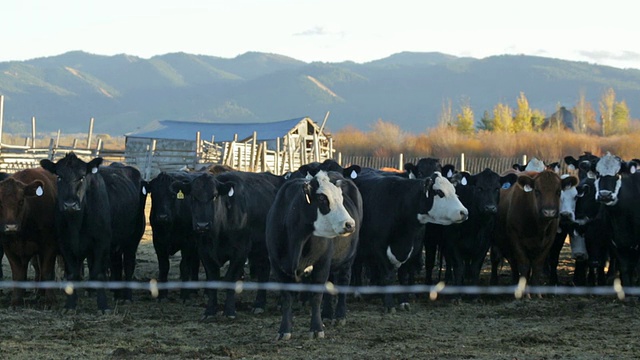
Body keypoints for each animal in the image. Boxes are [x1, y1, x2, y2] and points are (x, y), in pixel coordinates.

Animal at [0, 167, 58, 306]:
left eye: (21, 201)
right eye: (0, 203)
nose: (11, 227)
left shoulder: (50, 244)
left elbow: (47, 271)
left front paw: (50, 300)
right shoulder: (9, 247)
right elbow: (18, 275)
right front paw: (16, 301)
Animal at [146, 172, 201, 300]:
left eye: (172, 195)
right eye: (154, 195)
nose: (162, 217)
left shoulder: (188, 242)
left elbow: (184, 266)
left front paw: (184, 295)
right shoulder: (158, 242)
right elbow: (164, 266)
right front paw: (162, 295)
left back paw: (194, 290)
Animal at [169, 170, 284, 320]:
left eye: (214, 196)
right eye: (193, 196)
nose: (202, 225)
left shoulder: (240, 252)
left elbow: (230, 279)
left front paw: (229, 311)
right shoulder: (204, 252)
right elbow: (212, 279)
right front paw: (210, 311)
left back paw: (279, 303)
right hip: (260, 248)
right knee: (264, 269)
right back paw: (259, 304)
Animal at [264, 169, 360, 340]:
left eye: (341, 198)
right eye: (322, 198)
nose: (350, 224)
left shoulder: (321, 263)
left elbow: (316, 297)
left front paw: (316, 329)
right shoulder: (277, 265)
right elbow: (286, 298)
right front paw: (284, 330)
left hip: (348, 259)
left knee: (343, 282)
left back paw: (340, 315)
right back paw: (327, 315)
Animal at [352, 170, 468, 310]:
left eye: (455, 191)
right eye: (440, 192)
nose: (464, 212)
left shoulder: (414, 249)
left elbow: (404, 276)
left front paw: (403, 302)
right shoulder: (380, 248)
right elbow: (387, 275)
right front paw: (389, 305)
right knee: (357, 267)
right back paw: (358, 293)